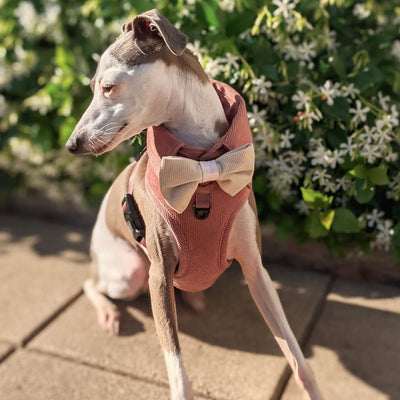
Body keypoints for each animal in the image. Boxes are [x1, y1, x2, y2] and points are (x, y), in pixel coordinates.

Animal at [65, 9, 322, 400]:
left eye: (106, 87)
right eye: (91, 87)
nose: (71, 144)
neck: (203, 167)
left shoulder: (255, 269)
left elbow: (297, 358)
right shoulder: (157, 274)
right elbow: (178, 371)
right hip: (130, 273)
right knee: (90, 282)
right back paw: (109, 311)